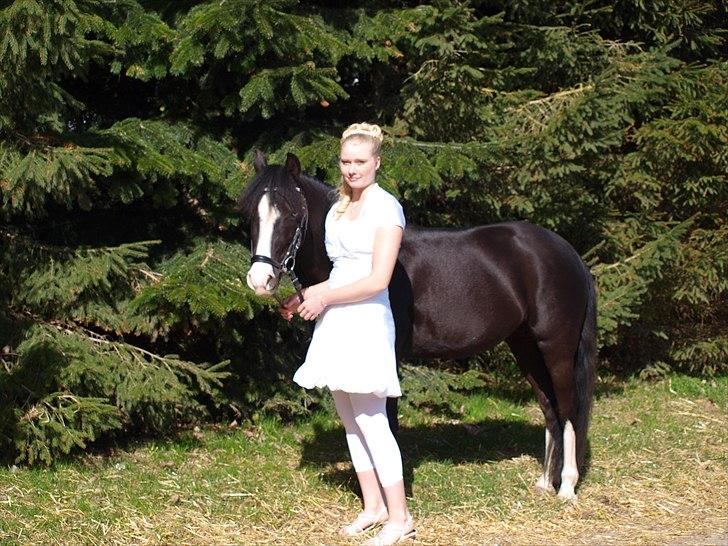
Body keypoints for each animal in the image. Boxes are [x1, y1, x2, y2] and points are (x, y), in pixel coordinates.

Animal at [240, 151, 597, 500]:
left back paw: (566, 487)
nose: (260, 280)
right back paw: (544, 482)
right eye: (252, 216)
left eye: (290, 214)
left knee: (567, 409)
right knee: (549, 407)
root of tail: (567, 252)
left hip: (556, 348)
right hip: (524, 346)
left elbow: (387, 424)